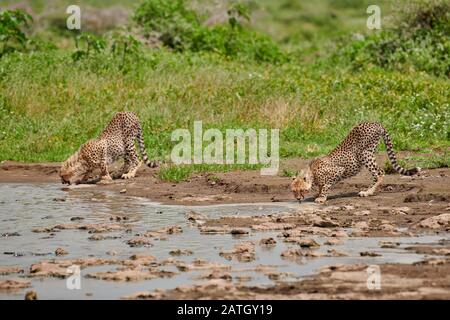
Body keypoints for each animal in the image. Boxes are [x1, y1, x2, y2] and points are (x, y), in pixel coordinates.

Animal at [290, 121, 420, 204]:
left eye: (302, 190)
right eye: (294, 191)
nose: (298, 199)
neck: (312, 172)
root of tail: (375, 122)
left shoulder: (338, 171)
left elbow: (326, 186)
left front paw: (321, 198)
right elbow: (321, 187)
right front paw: (318, 194)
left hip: (365, 154)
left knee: (380, 172)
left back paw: (367, 192)